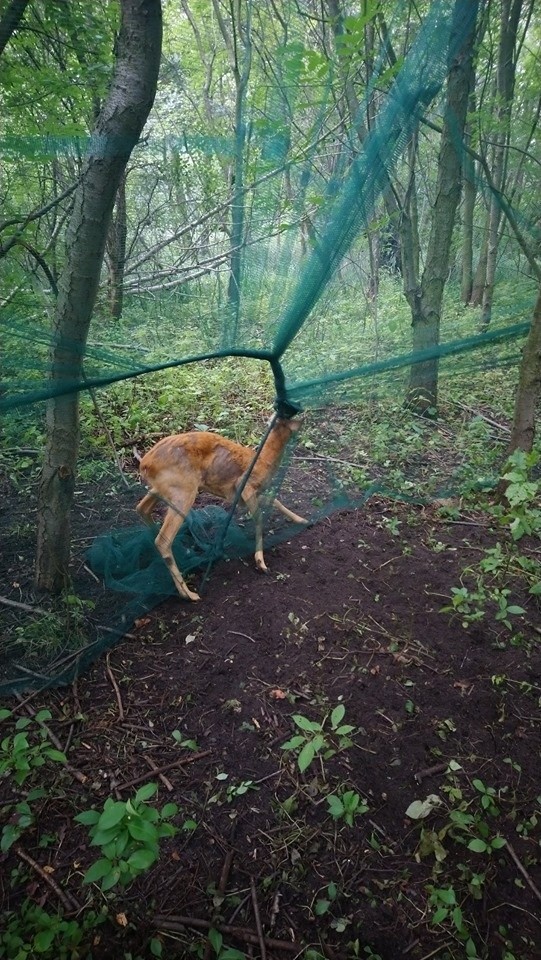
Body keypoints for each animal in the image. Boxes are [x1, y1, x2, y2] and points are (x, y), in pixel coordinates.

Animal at [135, 414, 306, 600]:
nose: (302, 419)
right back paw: (189, 594)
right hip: (183, 490)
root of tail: (145, 464)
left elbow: (275, 501)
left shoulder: (249, 494)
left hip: (162, 489)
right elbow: (260, 517)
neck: (264, 461)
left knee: (141, 508)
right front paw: (261, 562)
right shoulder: (245, 487)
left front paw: (302, 520)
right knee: (163, 539)